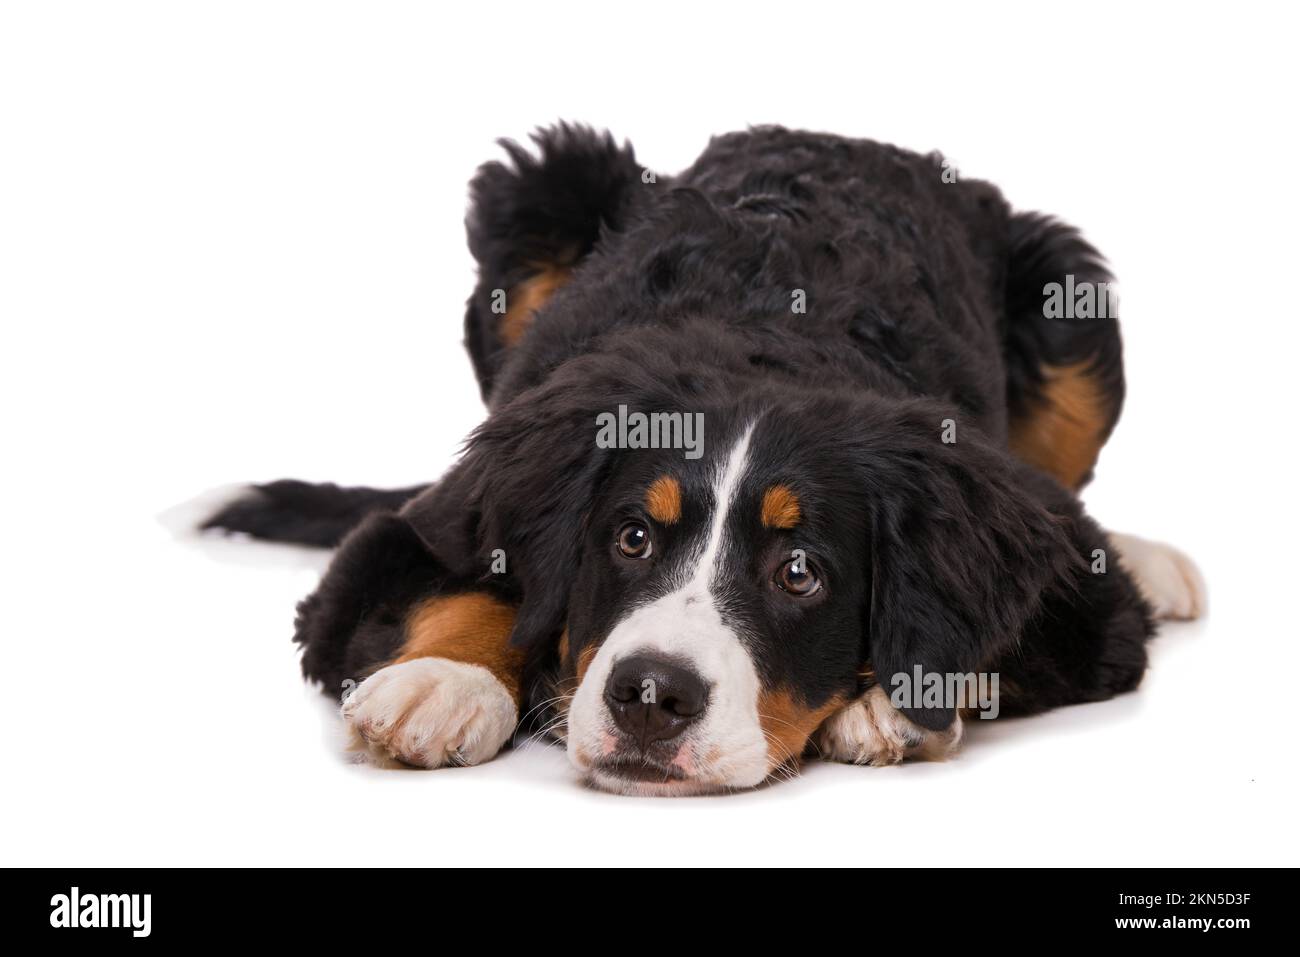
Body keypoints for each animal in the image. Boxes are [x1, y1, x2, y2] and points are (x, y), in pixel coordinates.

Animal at [202, 123, 1206, 795]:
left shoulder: (1078, 600)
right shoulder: (436, 520)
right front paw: (444, 684)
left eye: (800, 572)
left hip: (1069, 299)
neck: (761, 332)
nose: (651, 694)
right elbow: (464, 589)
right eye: (632, 538)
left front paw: (888, 702)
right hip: (547, 191)